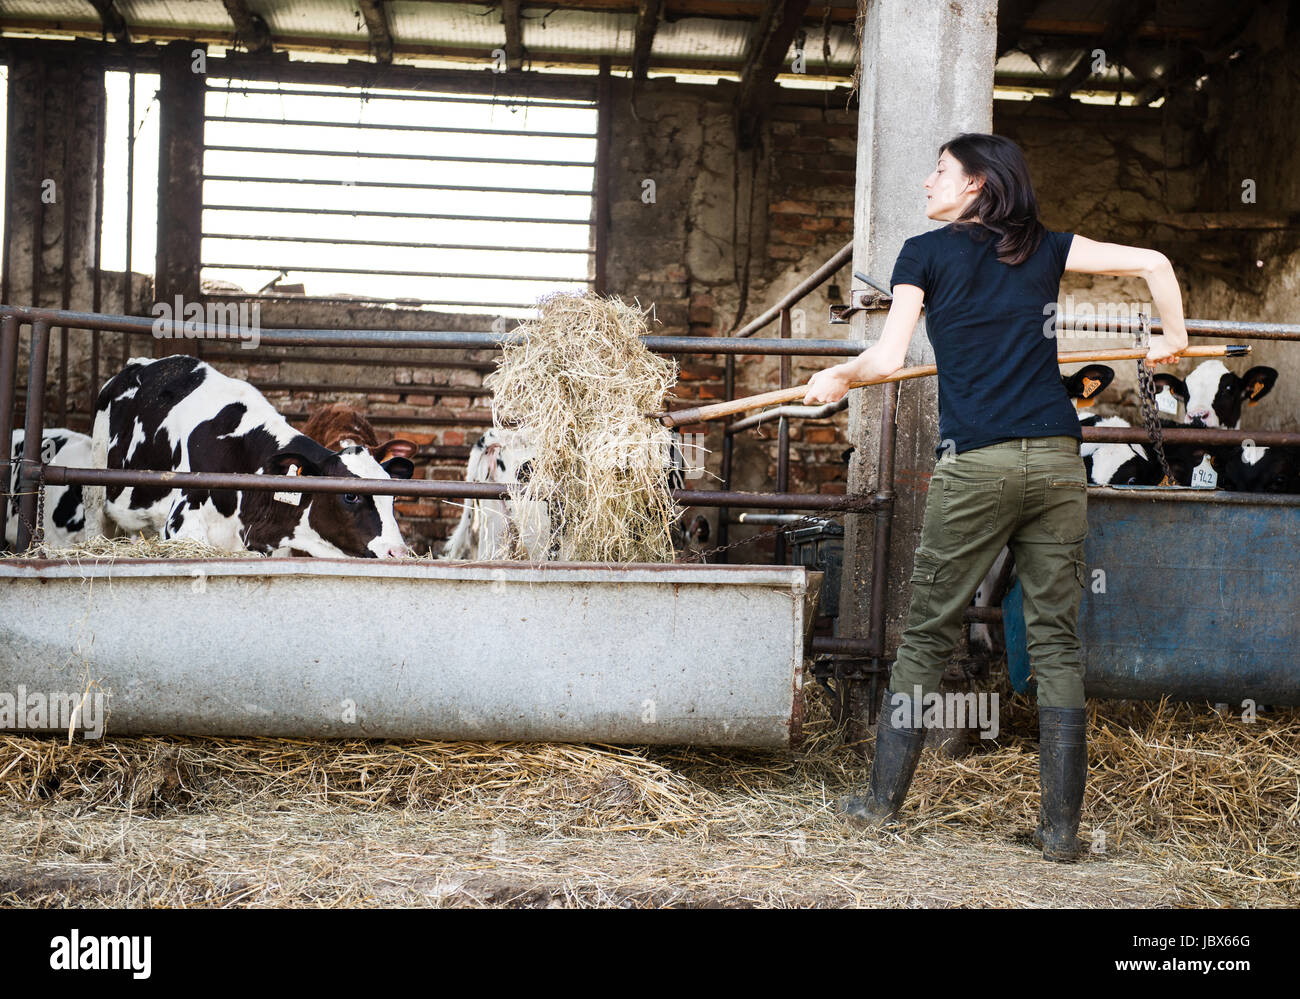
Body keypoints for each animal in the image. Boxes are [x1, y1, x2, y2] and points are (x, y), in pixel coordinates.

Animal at [85, 353, 410, 556]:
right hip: (96, 489)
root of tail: (138, 364)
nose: (397, 552)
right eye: (350, 495)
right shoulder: (183, 526)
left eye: (393, 496)